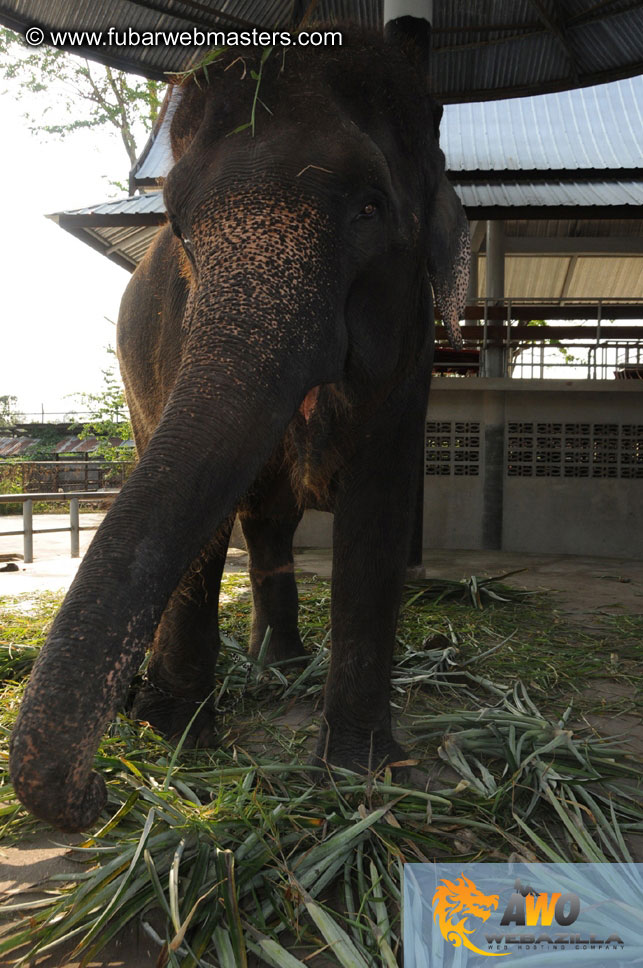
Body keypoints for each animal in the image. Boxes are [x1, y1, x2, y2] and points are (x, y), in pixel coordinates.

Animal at [8, 17, 468, 832]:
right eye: (180, 230)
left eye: (370, 208)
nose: (97, 793)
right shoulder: (173, 340)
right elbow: (203, 505)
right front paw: (176, 736)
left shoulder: (410, 349)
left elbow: (379, 507)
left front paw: (362, 773)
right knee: (253, 511)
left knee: (273, 521)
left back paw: (278, 666)